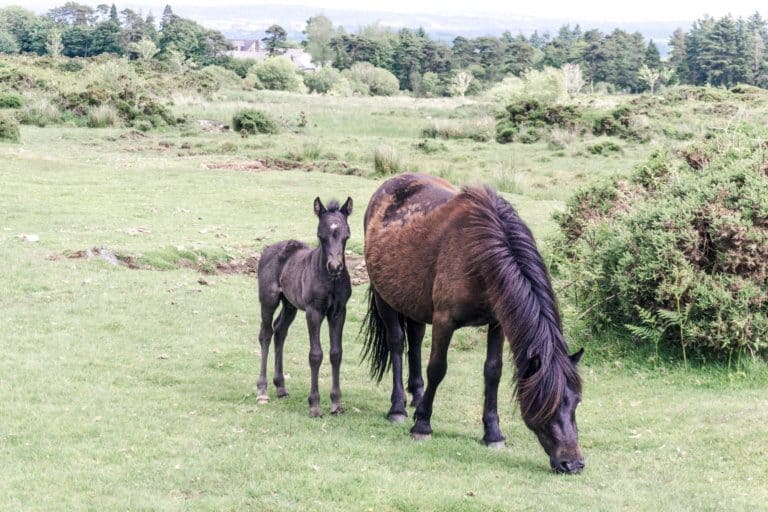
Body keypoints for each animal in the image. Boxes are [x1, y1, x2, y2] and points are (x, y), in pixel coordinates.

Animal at [257, 196, 353, 417]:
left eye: (346, 235)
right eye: (320, 236)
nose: (335, 267)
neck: (330, 280)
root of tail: (268, 249)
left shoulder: (339, 312)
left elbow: (336, 353)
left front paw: (336, 403)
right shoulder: (314, 312)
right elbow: (315, 355)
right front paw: (314, 405)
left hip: (289, 304)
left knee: (279, 331)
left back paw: (280, 387)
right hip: (268, 299)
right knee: (265, 334)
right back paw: (262, 390)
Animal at [361, 173, 584, 474]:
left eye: (576, 402)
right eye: (545, 404)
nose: (573, 463)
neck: (480, 254)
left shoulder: (498, 323)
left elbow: (493, 372)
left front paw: (493, 433)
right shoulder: (444, 320)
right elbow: (437, 369)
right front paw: (422, 425)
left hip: (414, 301)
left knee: (415, 340)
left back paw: (417, 397)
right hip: (384, 297)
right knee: (397, 342)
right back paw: (398, 408)